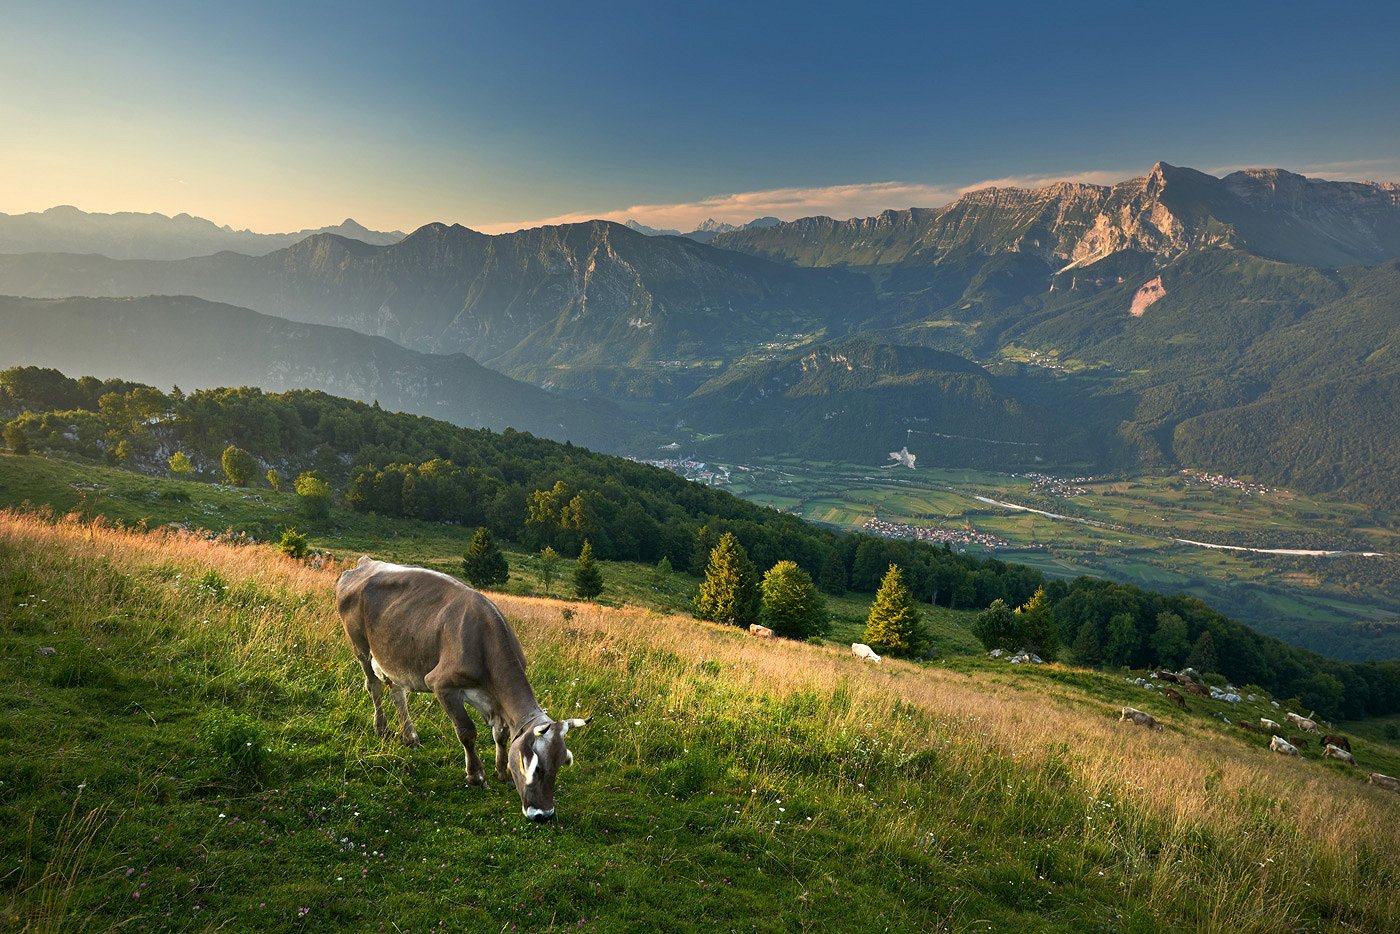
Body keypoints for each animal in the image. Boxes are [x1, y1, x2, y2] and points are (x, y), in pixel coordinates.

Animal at [338, 560, 590, 823]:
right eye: (536, 767)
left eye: (560, 764)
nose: (544, 814)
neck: (484, 640)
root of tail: (365, 563)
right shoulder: (441, 685)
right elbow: (467, 732)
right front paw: (476, 776)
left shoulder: (493, 700)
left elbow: (501, 734)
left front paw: (502, 771)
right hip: (360, 647)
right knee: (374, 686)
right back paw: (381, 728)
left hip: (392, 655)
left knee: (397, 692)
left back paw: (411, 736)